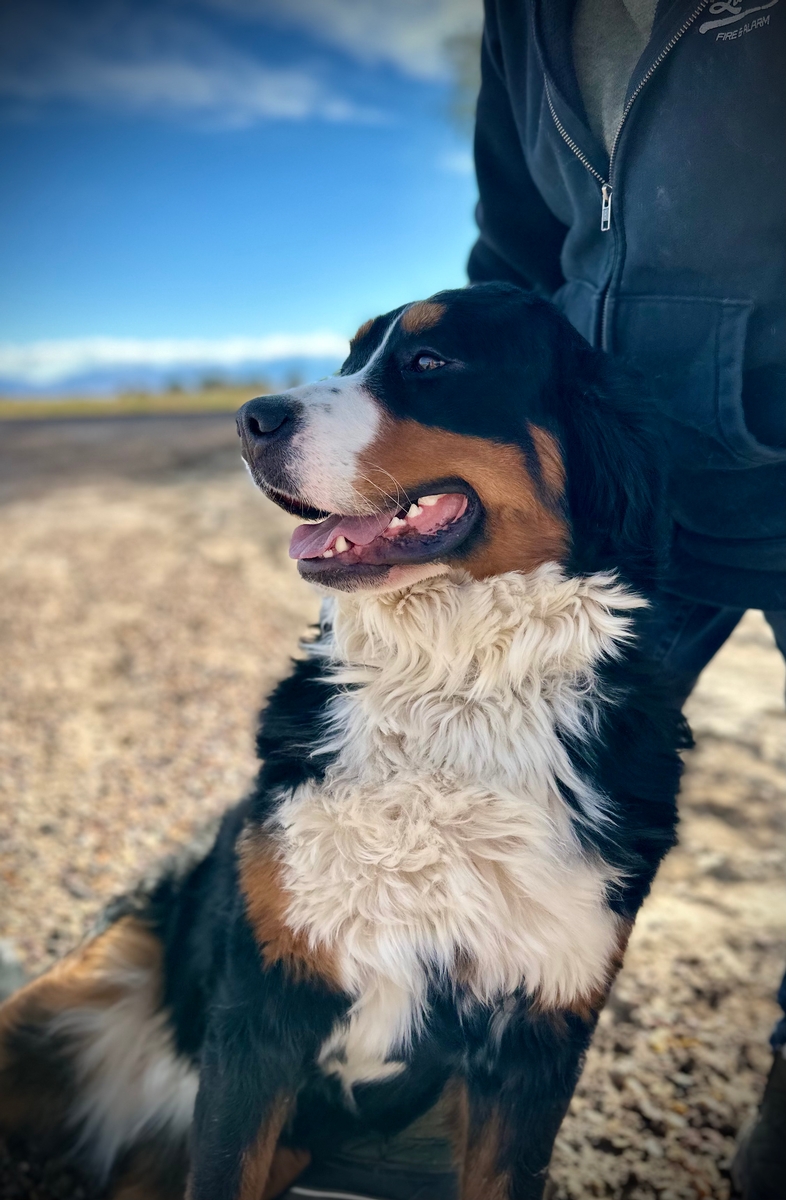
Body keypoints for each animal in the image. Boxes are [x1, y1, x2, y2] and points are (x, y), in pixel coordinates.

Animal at [0, 283, 691, 1200]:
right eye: (350, 356)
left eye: (430, 361)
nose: (251, 419)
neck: (451, 699)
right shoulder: (263, 1009)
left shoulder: (532, 1045)